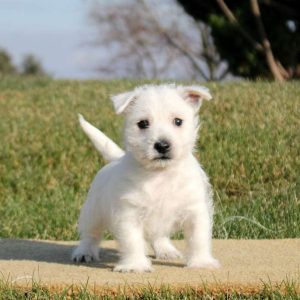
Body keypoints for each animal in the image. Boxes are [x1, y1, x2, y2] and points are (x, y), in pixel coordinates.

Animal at [71, 84, 219, 272]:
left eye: (178, 121)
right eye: (143, 123)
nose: (162, 145)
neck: (160, 174)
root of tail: (116, 159)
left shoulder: (195, 211)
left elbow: (198, 239)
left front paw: (201, 262)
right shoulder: (129, 213)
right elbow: (132, 241)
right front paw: (135, 265)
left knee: (159, 236)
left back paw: (166, 250)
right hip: (93, 212)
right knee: (90, 234)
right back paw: (84, 252)